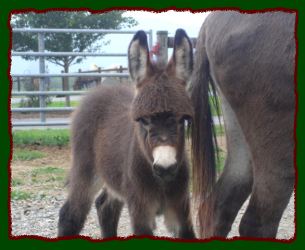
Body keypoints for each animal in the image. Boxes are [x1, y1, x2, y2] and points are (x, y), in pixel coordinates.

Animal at [57, 29, 195, 238]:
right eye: (143, 120)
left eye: (182, 119)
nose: (165, 168)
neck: (160, 182)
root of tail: (101, 89)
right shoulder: (140, 212)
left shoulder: (181, 209)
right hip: (86, 169)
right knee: (71, 214)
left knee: (105, 207)